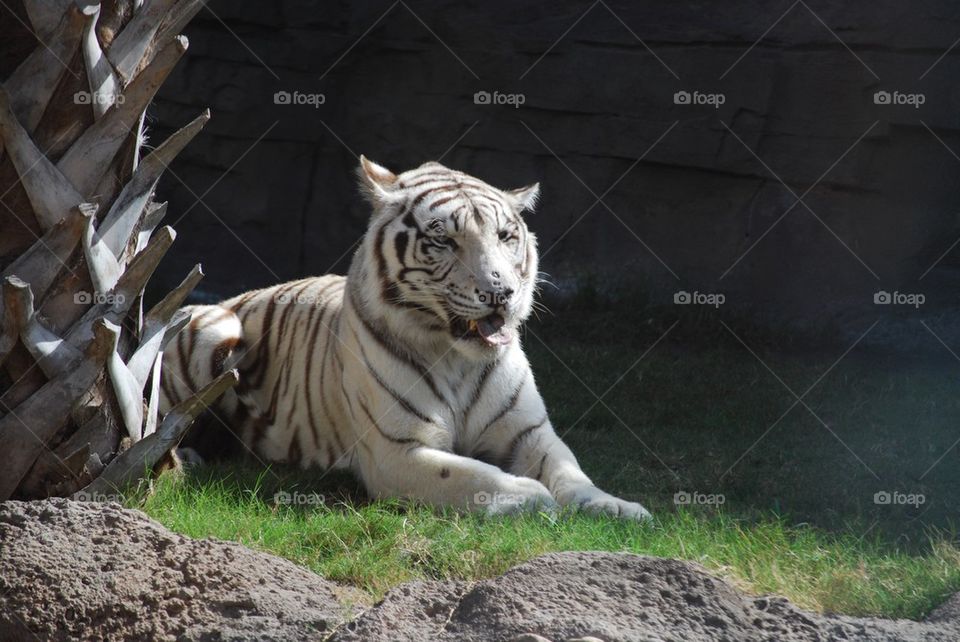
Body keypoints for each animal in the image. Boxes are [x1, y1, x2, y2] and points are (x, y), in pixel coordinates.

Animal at [159, 157, 651, 520]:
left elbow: (572, 472)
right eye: (446, 241)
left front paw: (619, 507)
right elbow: (476, 476)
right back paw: (182, 463)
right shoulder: (397, 451)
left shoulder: (530, 433)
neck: (458, 358)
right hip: (216, 330)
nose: (501, 293)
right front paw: (532, 497)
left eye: (506, 236)